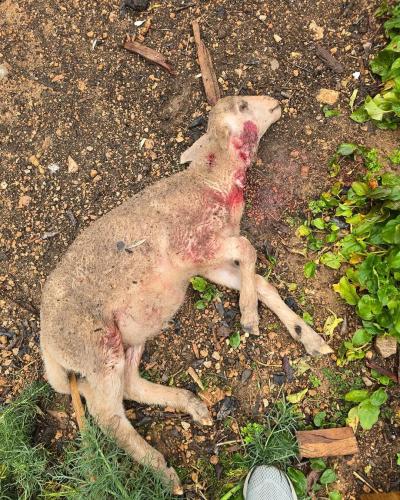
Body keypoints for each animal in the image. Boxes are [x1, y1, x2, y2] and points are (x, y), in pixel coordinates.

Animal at [40, 95, 332, 494]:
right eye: (243, 105)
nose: (275, 103)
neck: (211, 180)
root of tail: (47, 343)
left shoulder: (206, 265)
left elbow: (260, 279)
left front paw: (307, 336)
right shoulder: (196, 246)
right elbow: (249, 248)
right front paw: (248, 316)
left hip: (128, 336)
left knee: (128, 384)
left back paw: (191, 405)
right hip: (96, 348)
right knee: (107, 415)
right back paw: (163, 470)